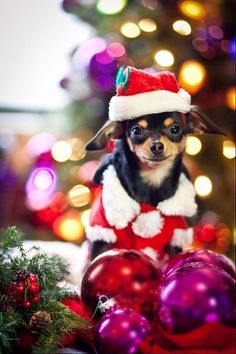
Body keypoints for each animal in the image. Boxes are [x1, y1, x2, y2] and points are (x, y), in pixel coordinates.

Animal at [85, 67, 225, 262]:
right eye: (136, 130)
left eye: (175, 129)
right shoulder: (102, 234)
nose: (157, 146)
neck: (153, 180)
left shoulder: (175, 238)